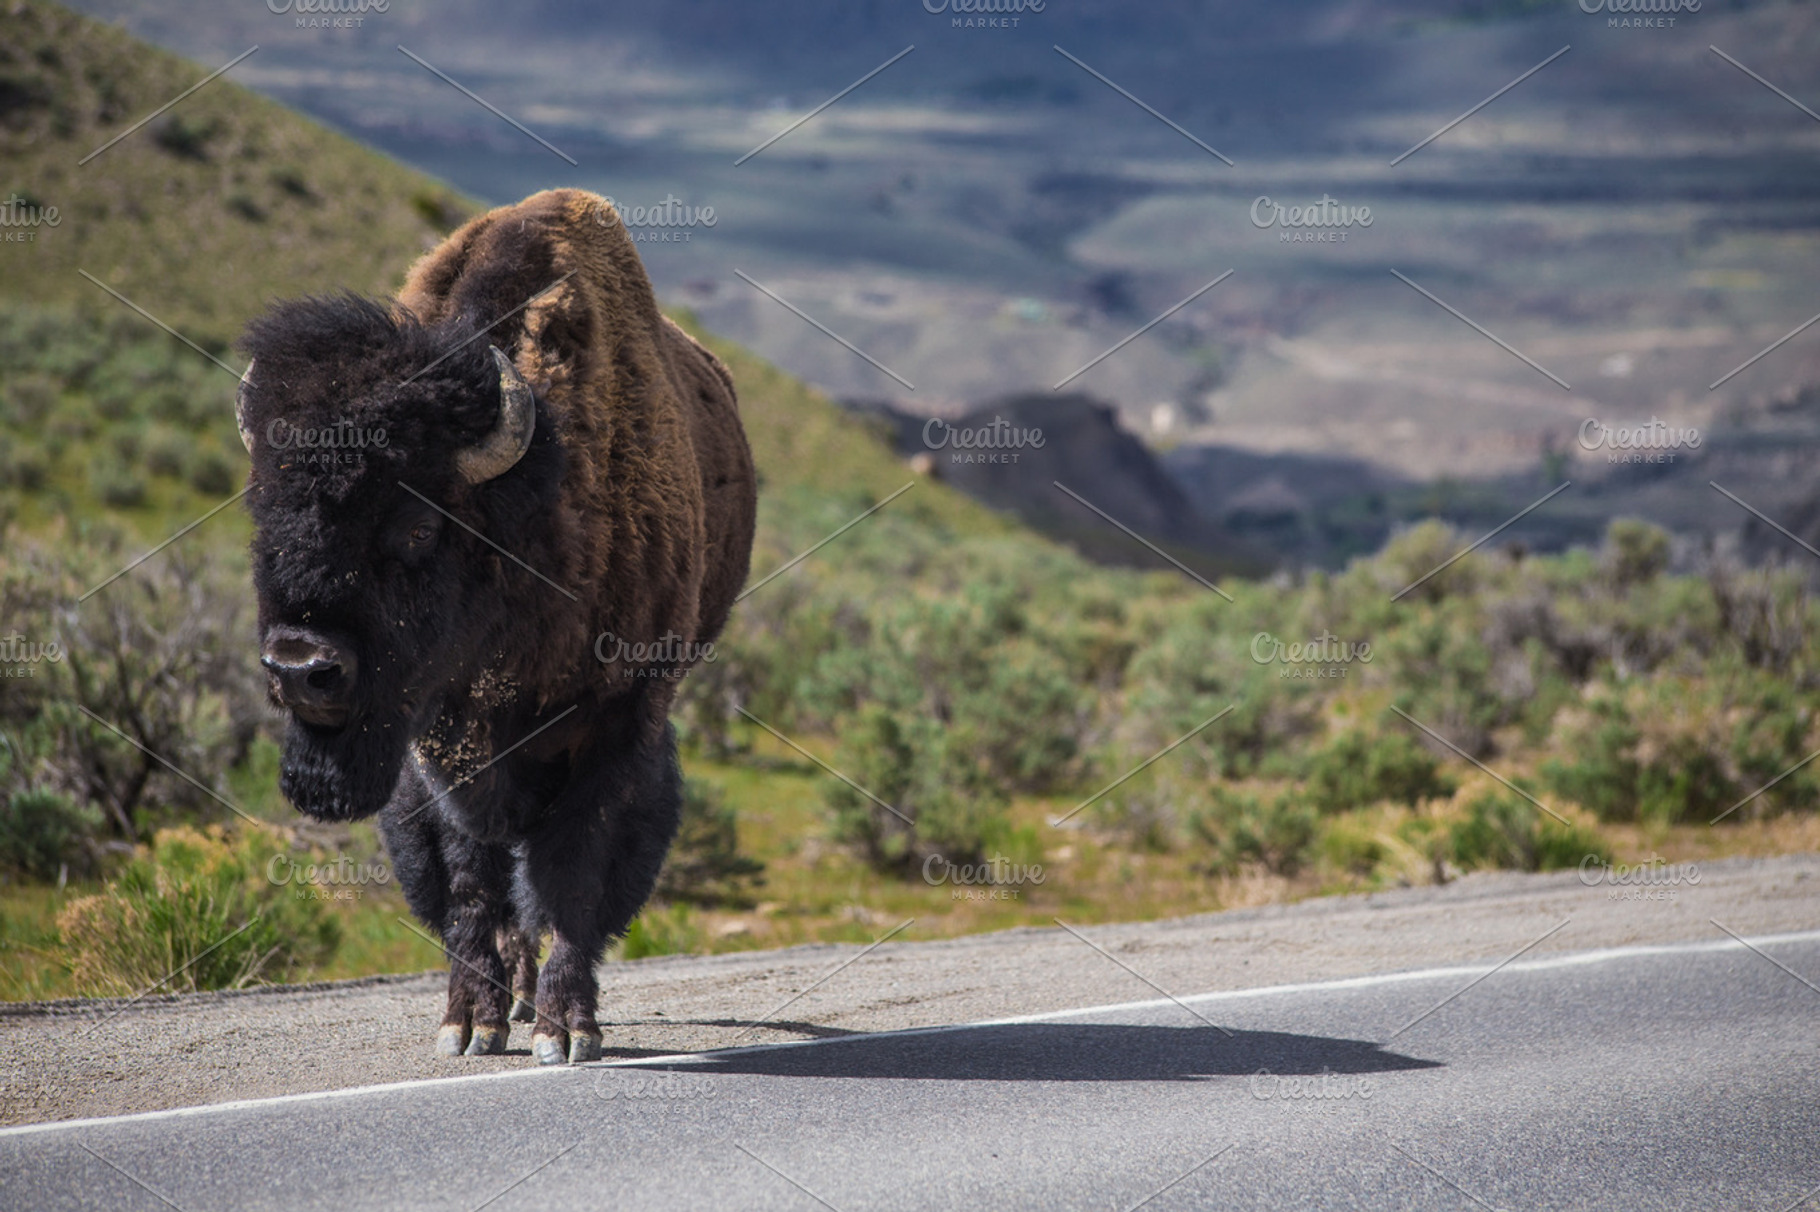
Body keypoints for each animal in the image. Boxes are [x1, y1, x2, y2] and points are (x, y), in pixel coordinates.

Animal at [236, 189, 757, 1064]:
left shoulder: (619, 716)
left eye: (417, 525)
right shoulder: (441, 741)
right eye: (263, 515)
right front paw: (469, 1023)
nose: (301, 666)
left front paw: (566, 1031)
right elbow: (472, 878)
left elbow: (572, 869)